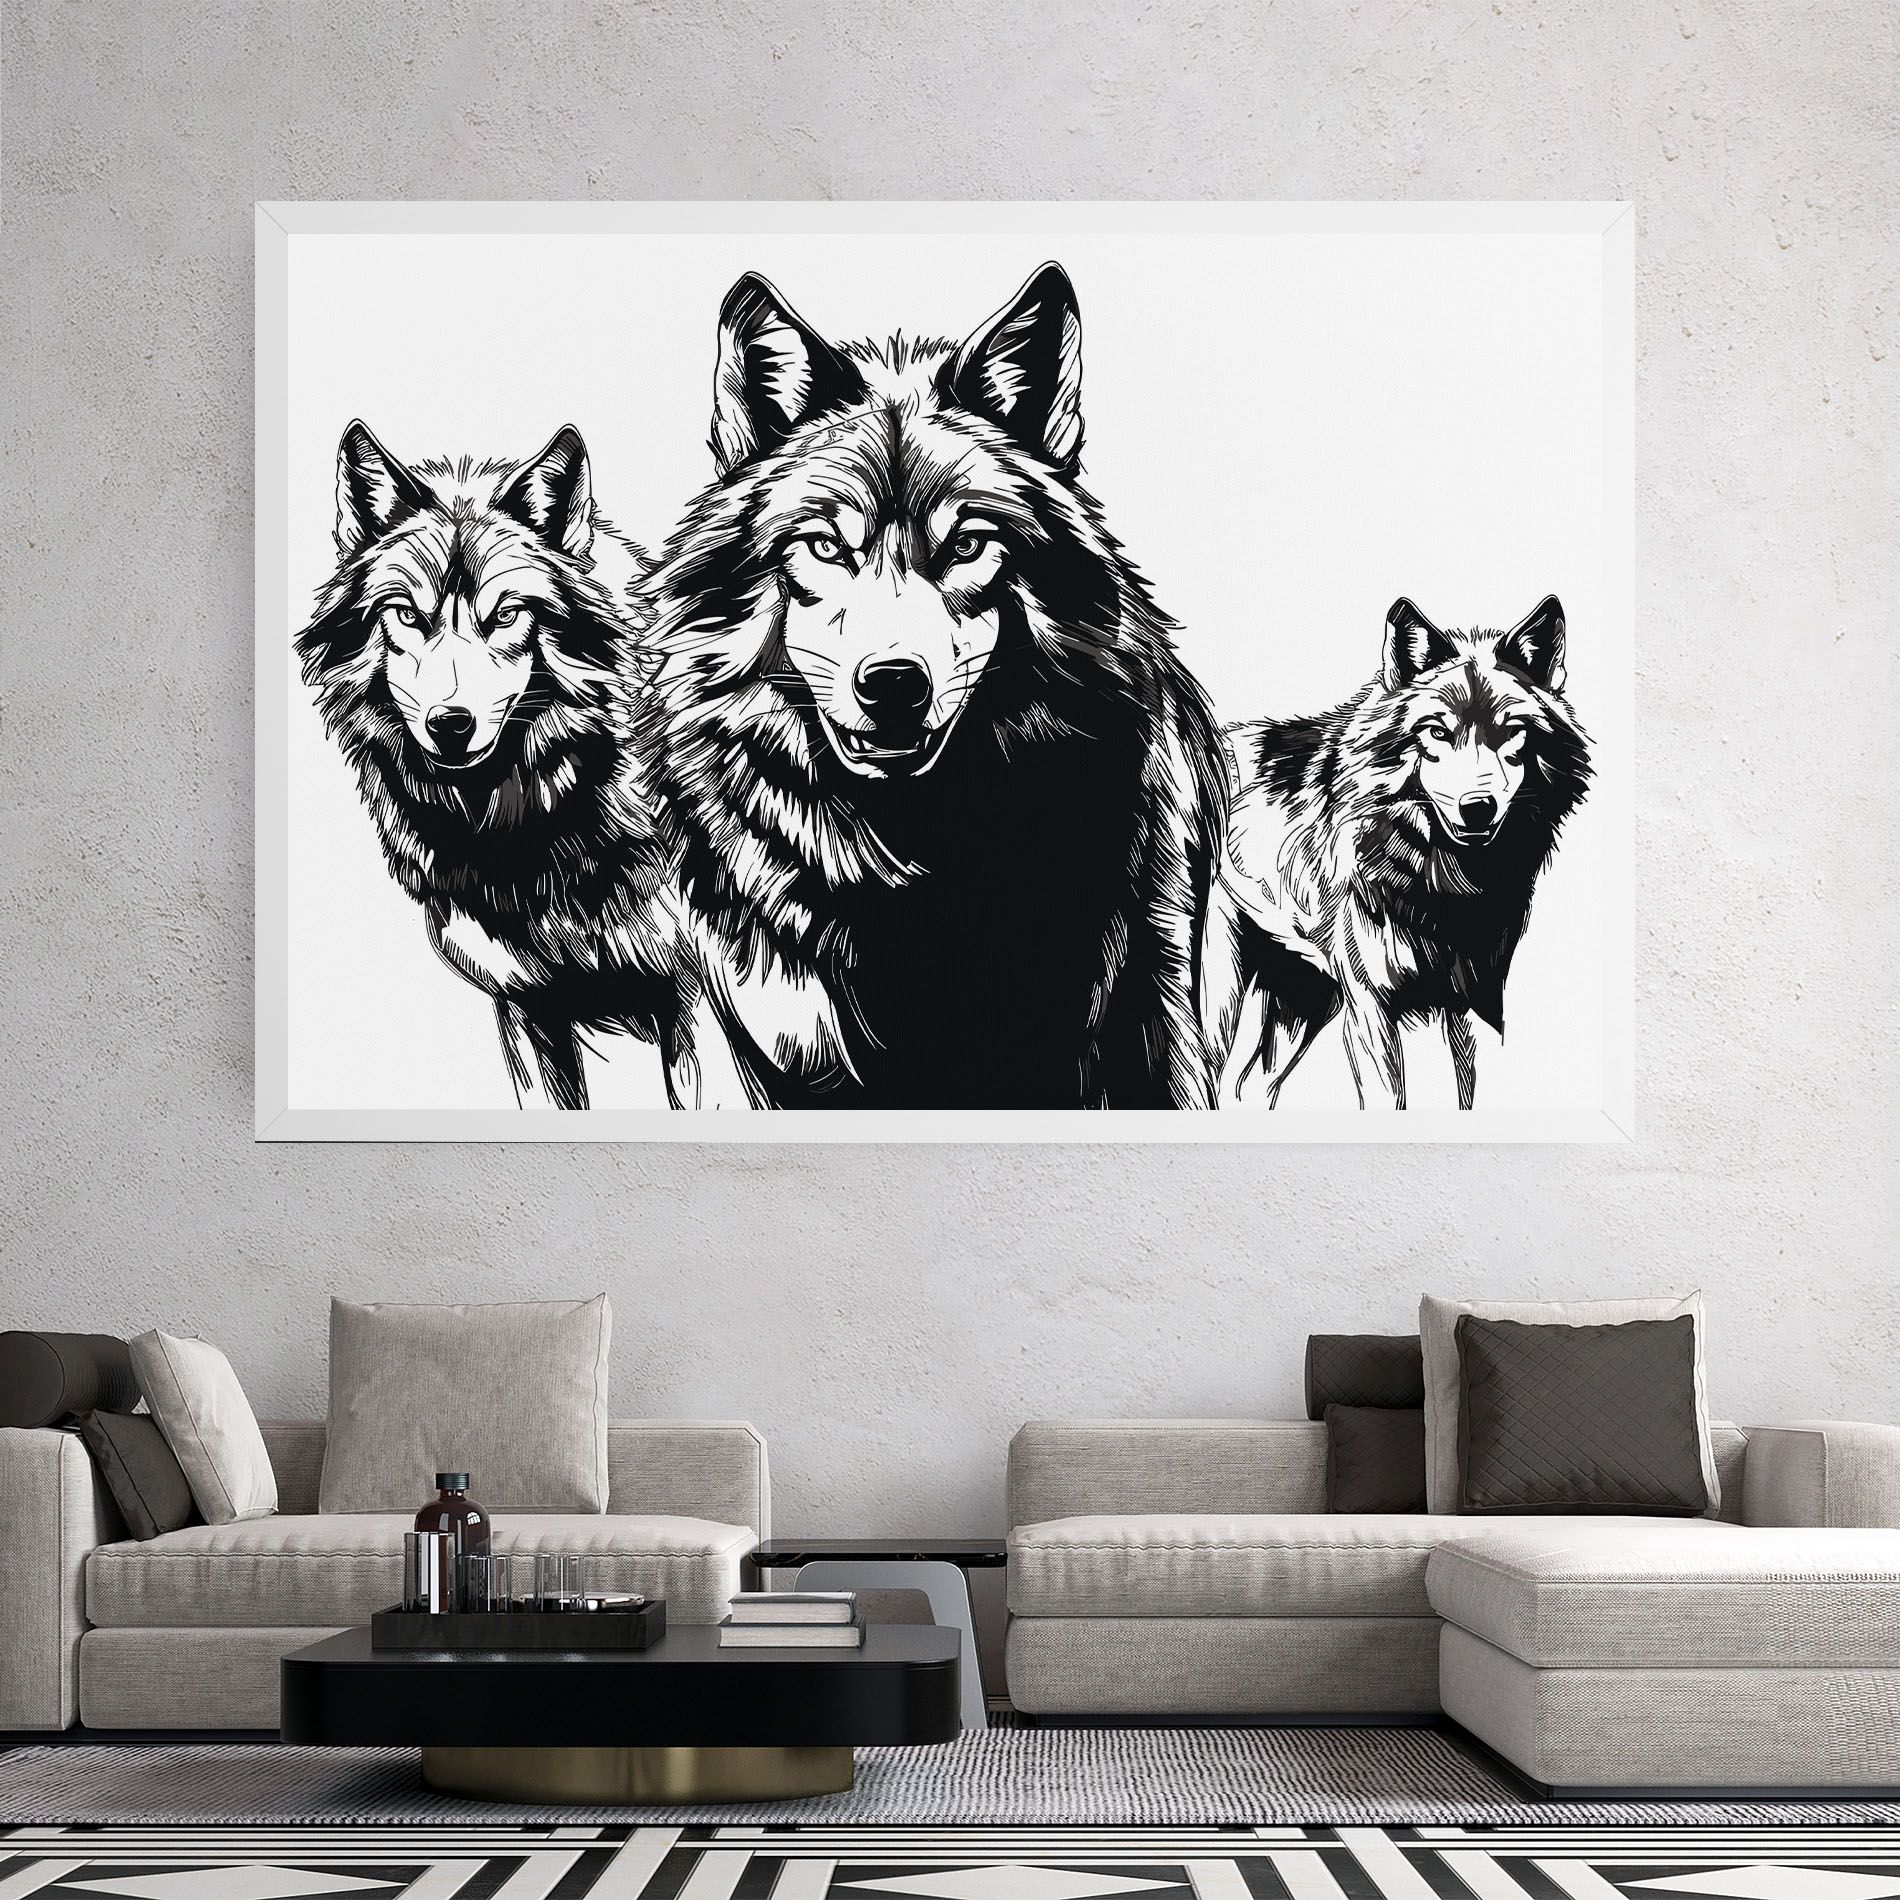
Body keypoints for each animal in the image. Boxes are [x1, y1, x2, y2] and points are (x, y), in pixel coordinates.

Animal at [1209, 596, 1591, 1110]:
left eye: (1510, 730)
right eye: (1436, 732)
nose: (1478, 808)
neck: (1447, 888)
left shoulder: (1474, 1009)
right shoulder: (1371, 1009)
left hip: (1305, 1001)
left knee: (1248, 1084)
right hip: (1221, 995)